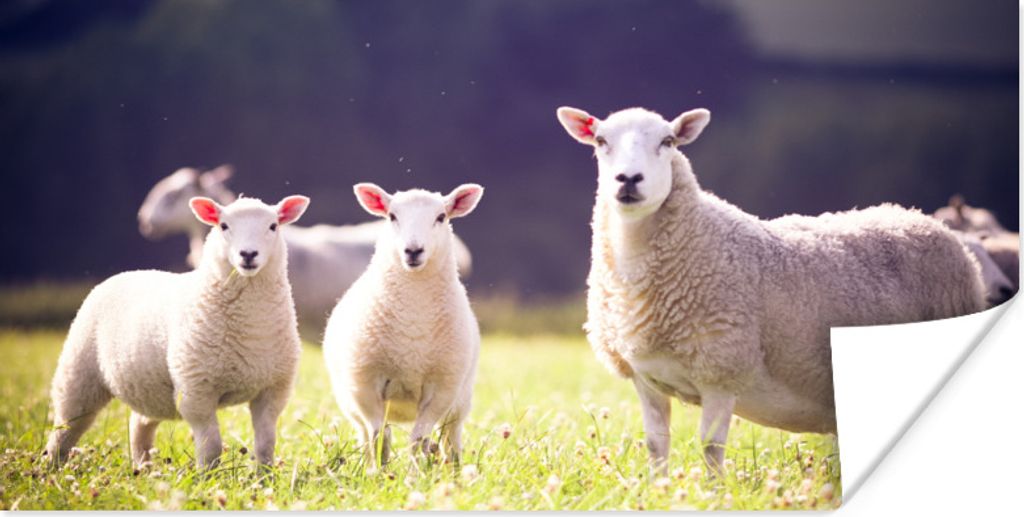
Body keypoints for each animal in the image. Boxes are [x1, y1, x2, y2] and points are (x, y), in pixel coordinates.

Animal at [45, 194, 310, 469]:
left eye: (273, 226)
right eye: (223, 226)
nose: (248, 254)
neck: (252, 329)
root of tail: (131, 271)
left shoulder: (273, 391)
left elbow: (266, 446)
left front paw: (264, 475)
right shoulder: (196, 391)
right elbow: (211, 448)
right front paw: (208, 476)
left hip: (150, 389)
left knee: (139, 425)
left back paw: (142, 467)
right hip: (79, 373)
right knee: (66, 428)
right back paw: (52, 467)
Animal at [322, 183, 483, 468]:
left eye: (441, 217)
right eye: (392, 216)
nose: (413, 250)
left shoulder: (442, 389)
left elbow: (418, 440)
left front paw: (414, 473)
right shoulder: (364, 385)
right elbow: (379, 437)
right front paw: (379, 473)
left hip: (461, 401)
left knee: (451, 438)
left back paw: (454, 469)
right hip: (349, 402)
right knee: (365, 435)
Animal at [556, 105, 986, 473]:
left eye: (668, 141)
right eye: (601, 141)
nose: (628, 180)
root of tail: (917, 218)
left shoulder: (723, 370)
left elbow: (710, 447)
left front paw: (715, 495)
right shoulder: (646, 378)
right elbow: (656, 444)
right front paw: (657, 490)